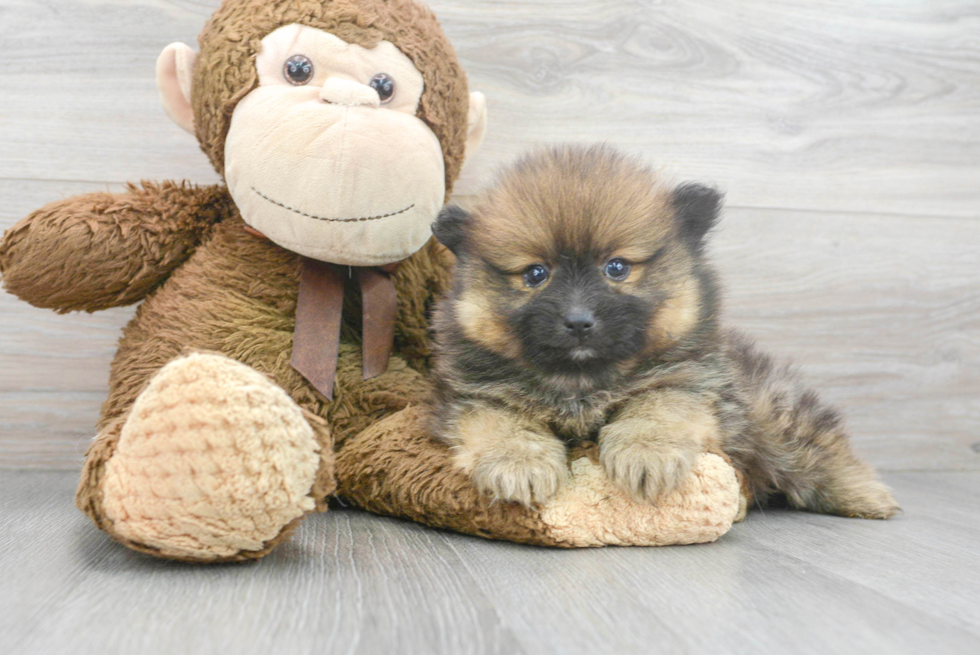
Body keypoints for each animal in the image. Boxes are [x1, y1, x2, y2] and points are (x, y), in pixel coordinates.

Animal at [432, 146, 900, 520]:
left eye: (616, 267)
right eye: (535, 274)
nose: (579, 320)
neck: (581, 381)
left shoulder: (688, 381)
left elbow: (656, 406)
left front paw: (646, 455)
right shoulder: (477, 394)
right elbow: (503, 421)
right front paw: (519, 465)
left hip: (777, 419)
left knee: (821, 449)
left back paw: (866, 496)